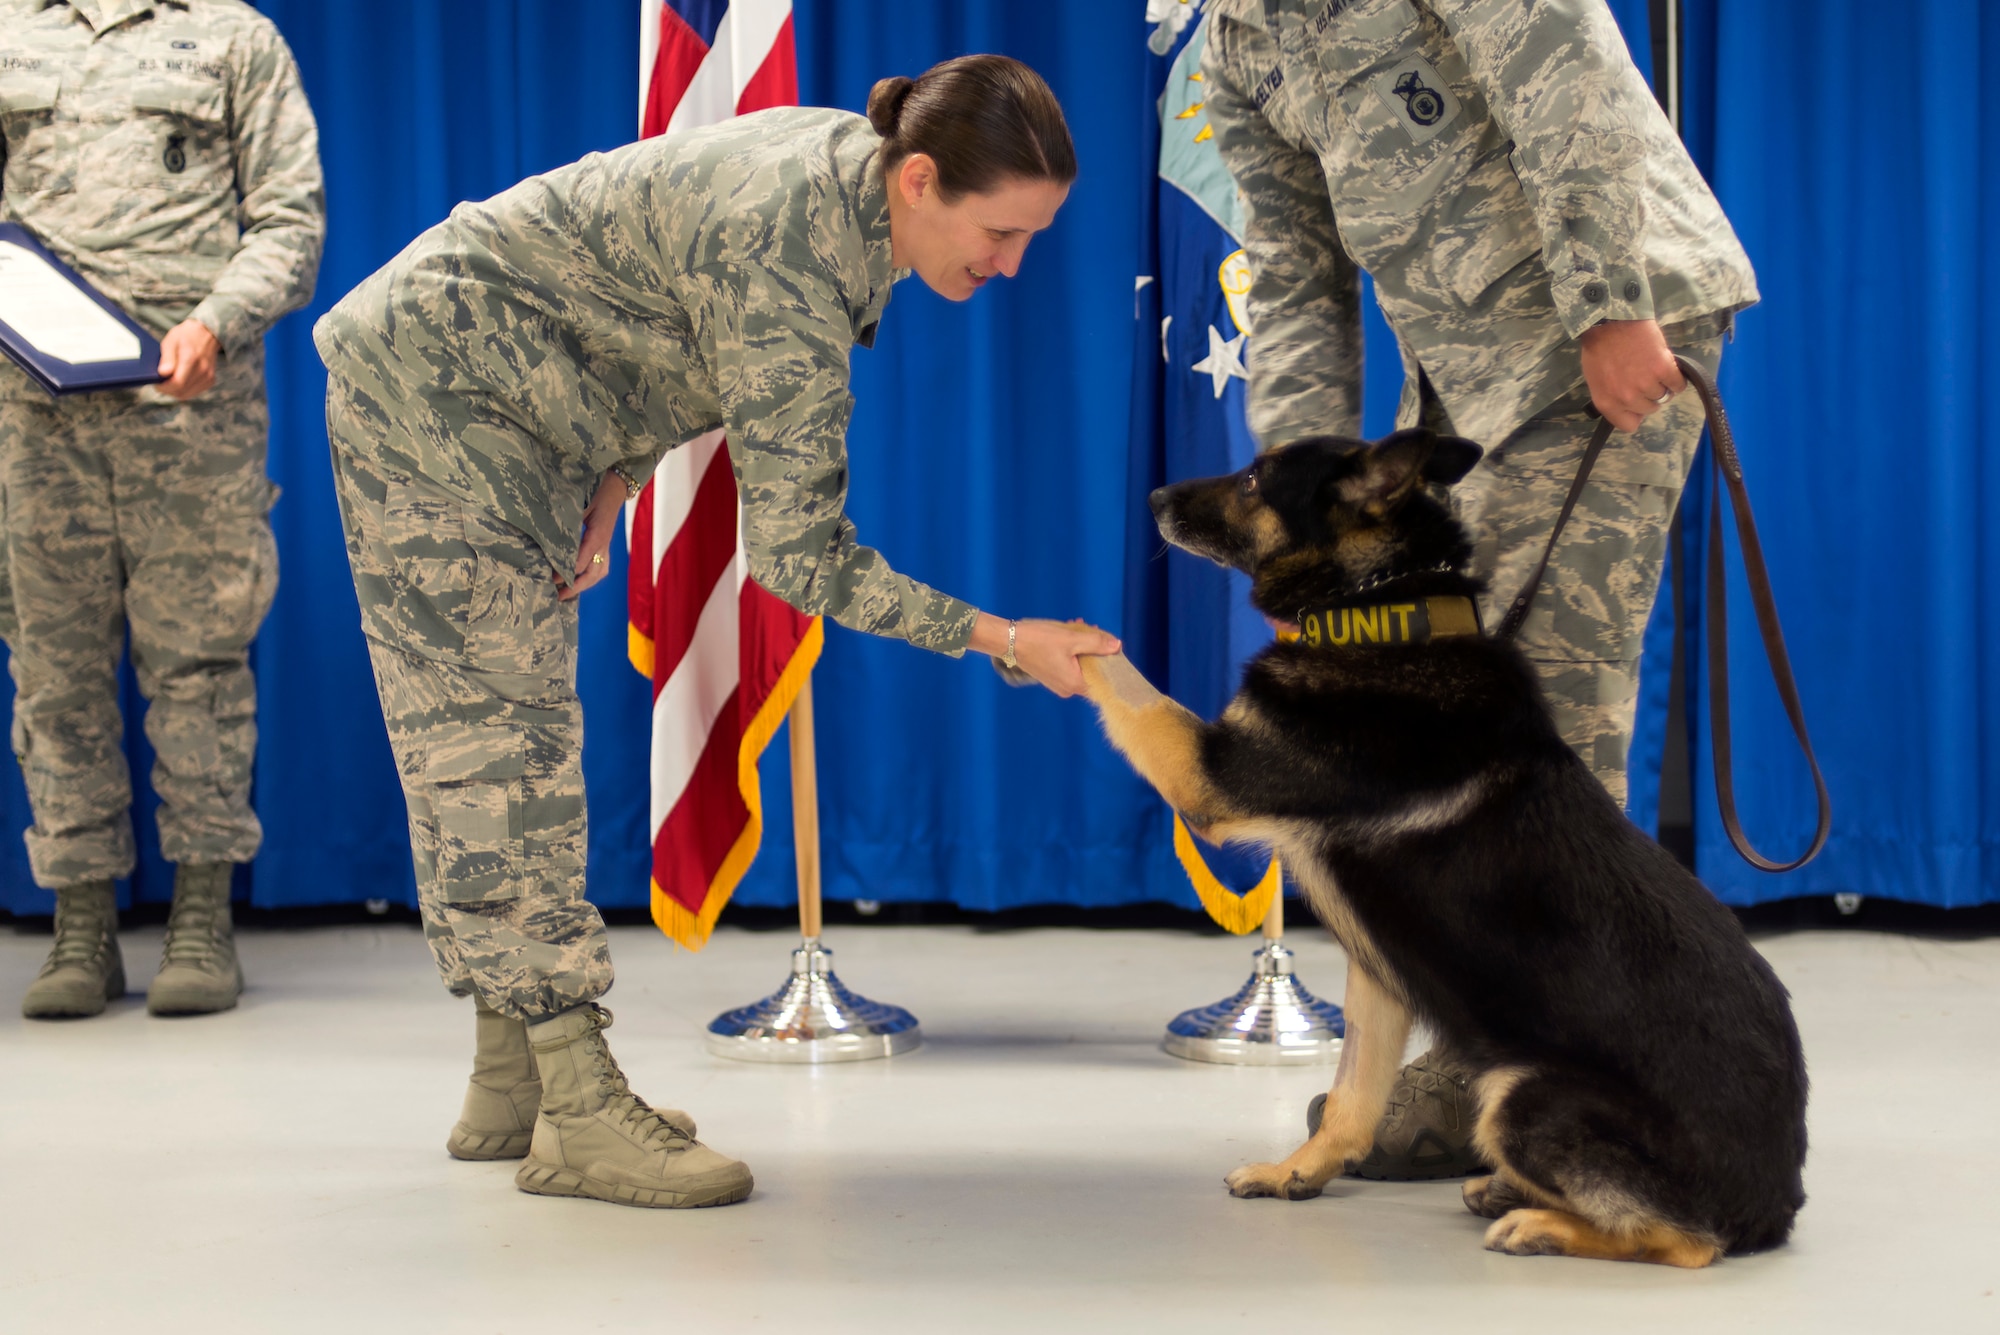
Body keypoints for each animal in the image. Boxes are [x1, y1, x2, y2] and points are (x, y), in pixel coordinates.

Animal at [1088, 429, 1808, 1271]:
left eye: (1255, 478)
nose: (1154, 499)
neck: (1380, 610)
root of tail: (1774, 1203)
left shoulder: (1207, 775)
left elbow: (1122, 677)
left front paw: (1036, 635)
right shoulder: (1380, 970)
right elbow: (1351, 1094)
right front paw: (1299, 1171)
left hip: (1522, 1093)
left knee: (1687, 1241)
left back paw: (1539, 1222)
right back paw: (1508, 1192)